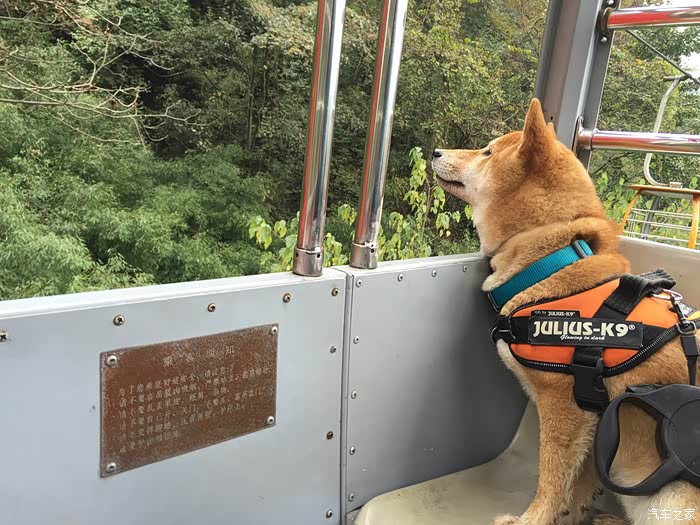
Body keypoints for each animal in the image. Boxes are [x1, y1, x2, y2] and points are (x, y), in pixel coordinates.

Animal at [431, 99, 700, 525]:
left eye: (487, 152)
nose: (436, 151)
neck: (552, 260)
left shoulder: (565, 407)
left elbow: (551, 478)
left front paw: (532, 519)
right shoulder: (595, 426)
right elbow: (578, 485)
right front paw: (570, 515)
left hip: (675, 497)